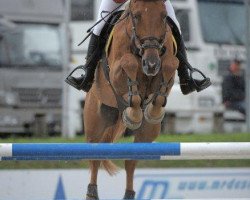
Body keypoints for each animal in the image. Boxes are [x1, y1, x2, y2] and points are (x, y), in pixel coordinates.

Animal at [83, 0, 178, 199]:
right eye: (136, 16)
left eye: (164, 17)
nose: (151, 64)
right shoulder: (115, 72)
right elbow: (129, 62)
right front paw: (133, 111)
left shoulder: (166, 66)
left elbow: (171, 64)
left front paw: (152, 110)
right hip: (95, 124)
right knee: (94, 158)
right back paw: (92, 193)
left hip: (148, 132)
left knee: (131, 160)